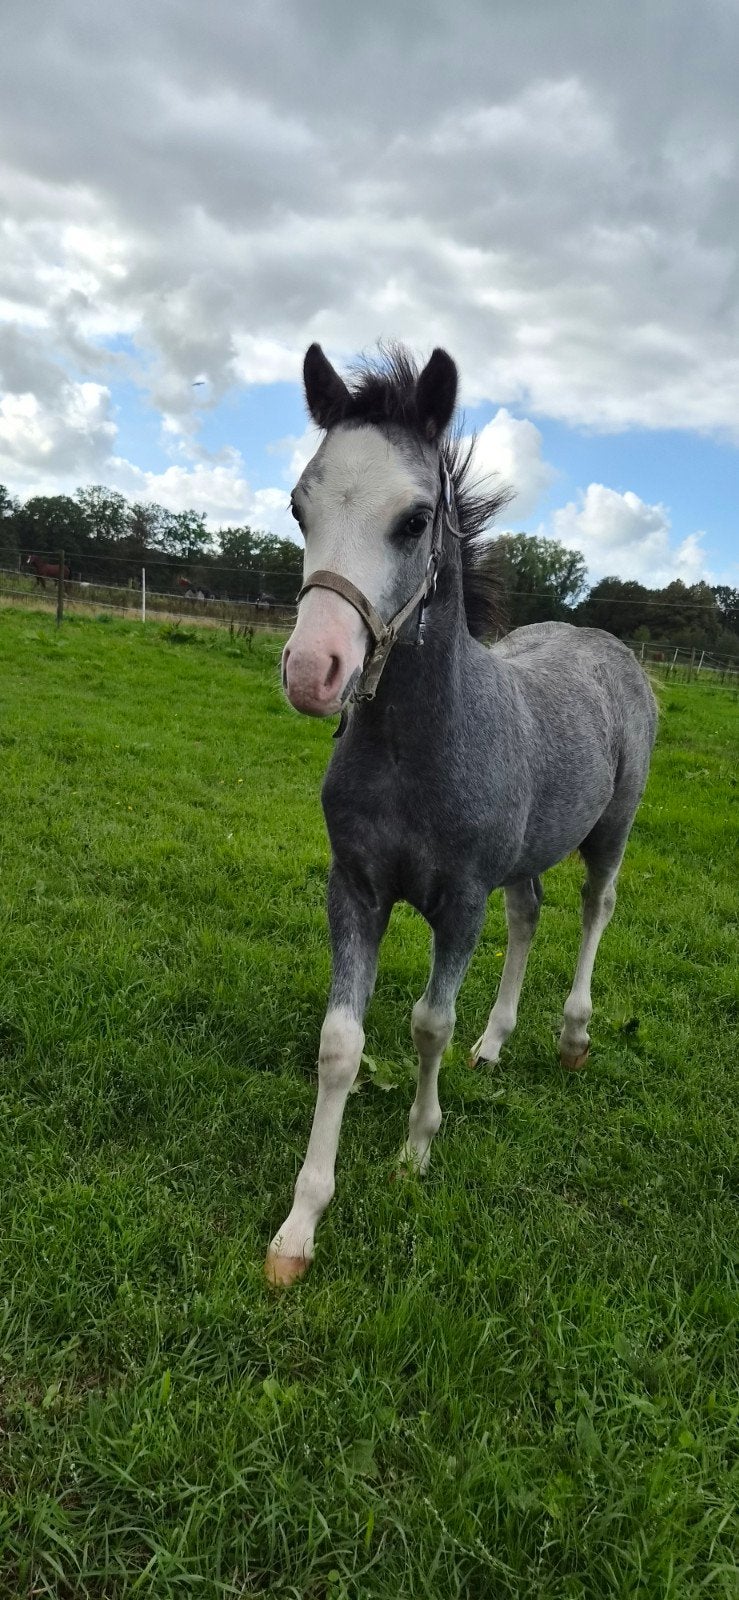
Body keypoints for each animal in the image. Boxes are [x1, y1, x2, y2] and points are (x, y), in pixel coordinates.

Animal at [266, 343, 657, 1287]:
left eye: (413, 521)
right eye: (299, 506)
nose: (312, 671)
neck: (416, 749)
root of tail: (603, 646)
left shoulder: (460, 903)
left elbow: (426, 1024)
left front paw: (414, 1153)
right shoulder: (355, 891)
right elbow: (341, 1044)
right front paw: (298, 1229)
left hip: (612, 828)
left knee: (594, 906)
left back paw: (571, 1035)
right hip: (525, 858)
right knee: (530, 915)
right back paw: (496, 1042)